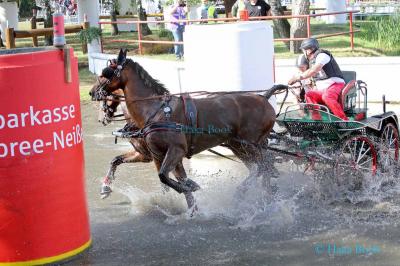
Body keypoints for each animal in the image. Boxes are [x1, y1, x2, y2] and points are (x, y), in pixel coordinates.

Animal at [92, 48, 282, 209]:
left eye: (105, 73)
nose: (92, 92)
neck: (156, 111)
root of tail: (264, 98)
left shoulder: (175, 151)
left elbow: (164, 177)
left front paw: (190, 188)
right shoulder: (158, 155)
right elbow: (172, 180)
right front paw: (192, 209)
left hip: (248, 144)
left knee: (263, 167)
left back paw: (246, 193)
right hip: (238, 145)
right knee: (261, 167)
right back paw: (267, 197)